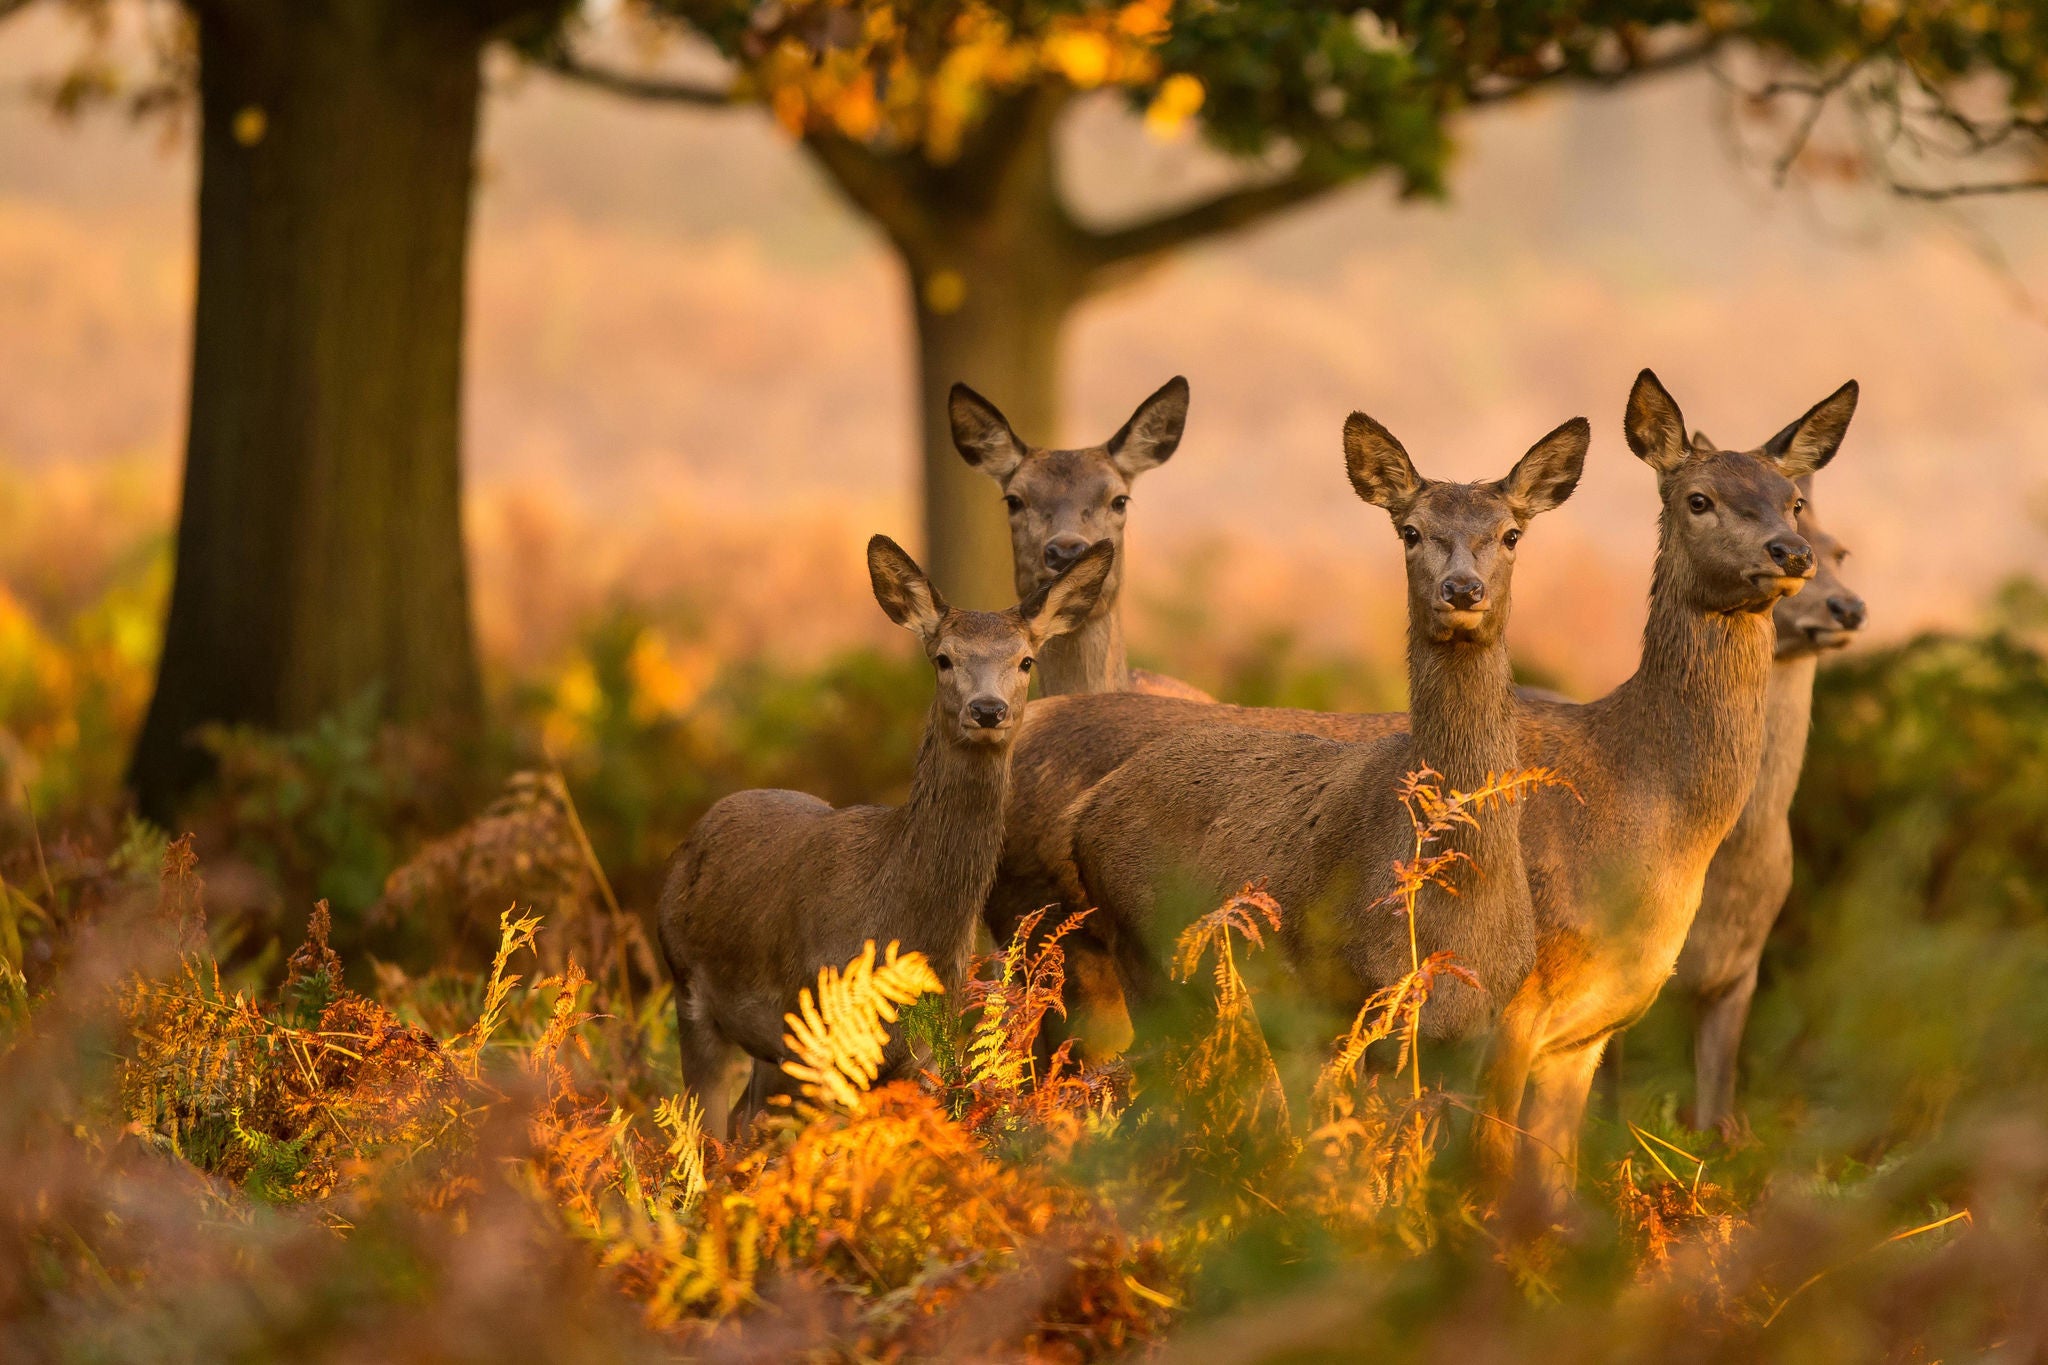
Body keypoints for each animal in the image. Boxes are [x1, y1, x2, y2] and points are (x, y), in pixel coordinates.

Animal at [656, 534, 1112, 1137]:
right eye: (943, 658)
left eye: (1026, 660)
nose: (988, 709)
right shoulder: (822, 1030)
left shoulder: (920, 1054)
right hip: (689, 987)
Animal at [1062, 412, 1591, 1043]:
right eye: (1410, 532)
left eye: (1512, 534)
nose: (1463, 589)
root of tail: (1085, 810)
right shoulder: (1345, 993)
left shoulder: (1481, 1021)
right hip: (1143, 954)